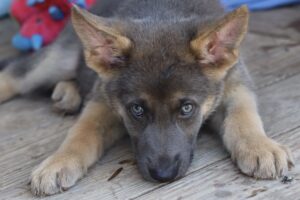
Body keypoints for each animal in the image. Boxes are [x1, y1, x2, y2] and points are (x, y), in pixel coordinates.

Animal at [0, 0, 294, 195]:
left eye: (187, 108)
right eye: (137, 110)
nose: (163, 176)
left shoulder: (236, 82)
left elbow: (243, 115)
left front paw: (259, 146)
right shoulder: (103, 98)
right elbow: (82, 132)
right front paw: (58, 161)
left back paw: (67, 93)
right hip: (54, 61)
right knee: (15, 74)